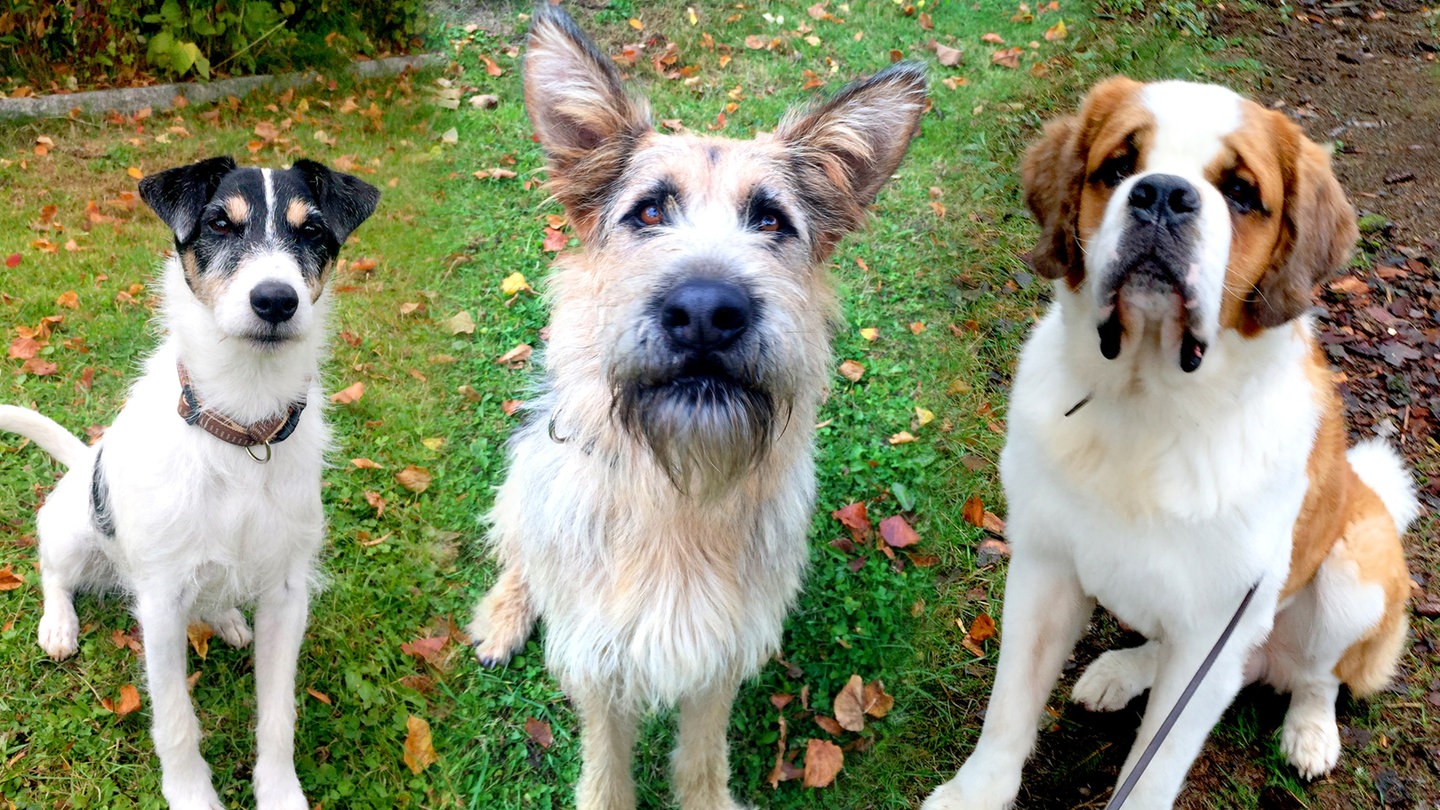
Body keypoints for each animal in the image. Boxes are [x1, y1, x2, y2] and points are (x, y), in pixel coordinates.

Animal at [921, 77, 1416, 807]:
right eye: (1118, 167)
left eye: (1240, 192)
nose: (1160, 195)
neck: (1148, 408)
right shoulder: (1044, 569)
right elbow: (1010, 705)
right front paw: (975, 793)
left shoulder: (1219, 623)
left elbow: (1154, 767)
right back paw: (1125, 671)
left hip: (1355, 572)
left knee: (1319, 676)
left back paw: (1310, 732)